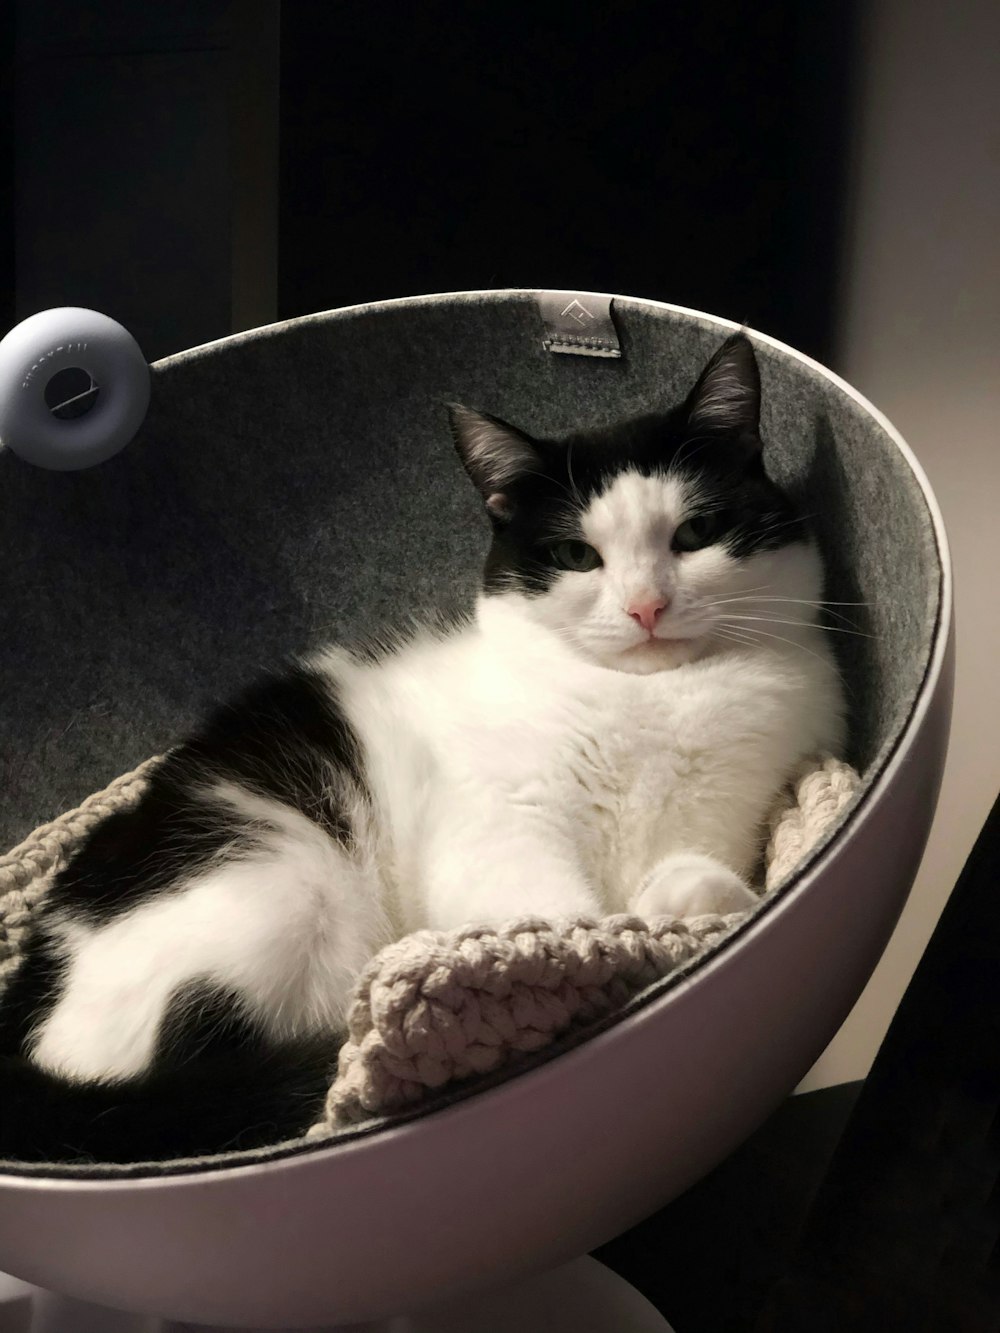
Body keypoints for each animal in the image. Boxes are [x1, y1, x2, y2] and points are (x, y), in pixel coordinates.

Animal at [0, 335, 848, 1167]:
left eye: (696, 535)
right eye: (578, 555)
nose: (647, 606)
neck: (654, 698)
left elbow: (702, 883)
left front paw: (680, 904)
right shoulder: (496, 835)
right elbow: (557, 923)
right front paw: (594, 949)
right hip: (282, 885)